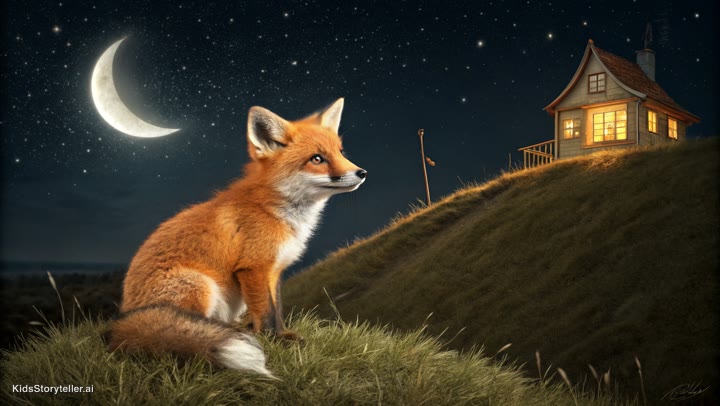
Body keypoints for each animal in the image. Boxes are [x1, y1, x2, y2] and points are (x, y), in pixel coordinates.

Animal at [107, 98, 366, 377]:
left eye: (341, 152)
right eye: (317, 159)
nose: (362, 172)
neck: (277, 212)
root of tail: (124, 317)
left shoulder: (274, 270)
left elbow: (277, 309)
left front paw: (283, 336)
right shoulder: (253, 267)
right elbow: (266, 313)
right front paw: (273, 342)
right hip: (200, 284)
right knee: (190, 327)